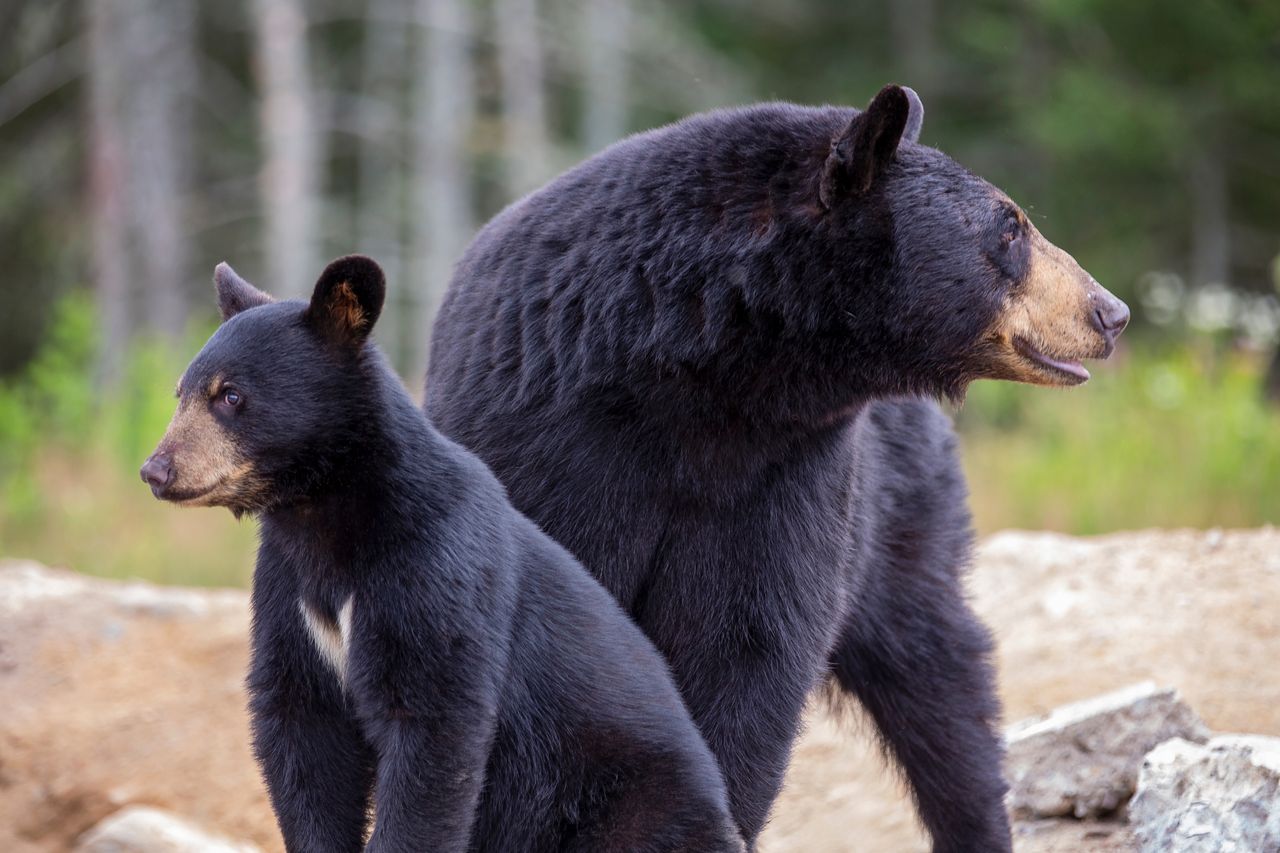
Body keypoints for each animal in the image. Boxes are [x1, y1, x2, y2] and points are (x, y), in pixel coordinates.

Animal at [142, 253, 742, 850]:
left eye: (230, 395)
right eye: (180, 393)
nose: (156, 470)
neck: (326, 513)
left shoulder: (433, 566)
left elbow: (433, 726)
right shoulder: (288, 585)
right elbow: (302, 728)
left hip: (626, 797)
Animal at [427, 83, 1131, 845]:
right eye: (1009, 229)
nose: (1110, 311)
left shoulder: (786, 476)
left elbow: (745, 651)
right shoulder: (547, 446)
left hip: (897, 525)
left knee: (940, 689)